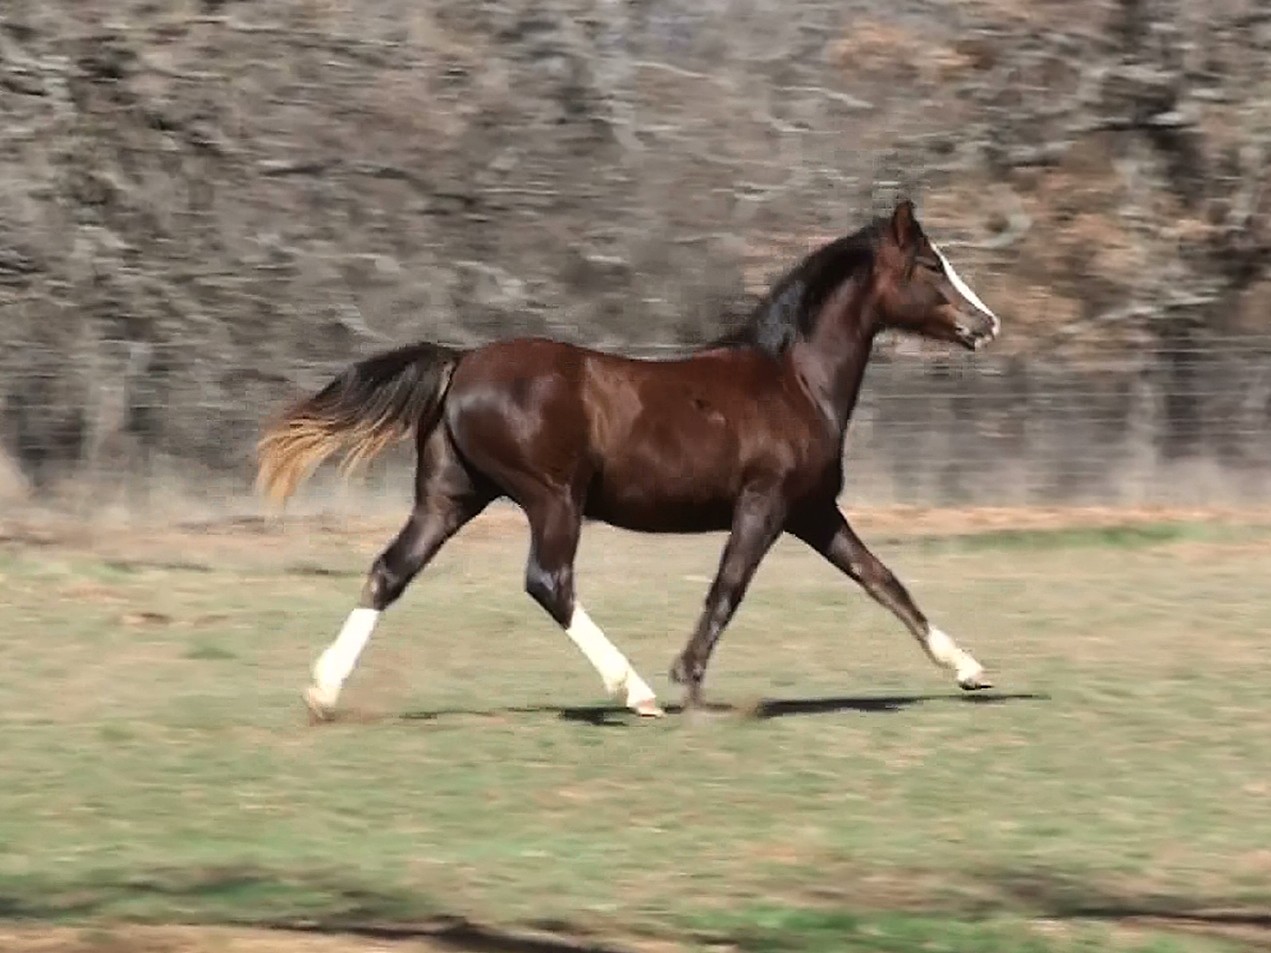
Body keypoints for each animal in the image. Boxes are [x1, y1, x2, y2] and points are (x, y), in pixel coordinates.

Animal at [255, 198, 1001, 722]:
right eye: (930, 265)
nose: (986, 323)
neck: (793, 379)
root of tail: (460, 362)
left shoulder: (813, 510)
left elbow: (882, 580)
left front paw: (968, 668)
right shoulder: (765, 504)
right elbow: (728, 586)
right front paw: (688, 682)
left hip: (448, 497)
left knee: (390, 571)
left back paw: (321, 692)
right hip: (551, 498)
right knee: (548, 583)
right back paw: (635, 690)